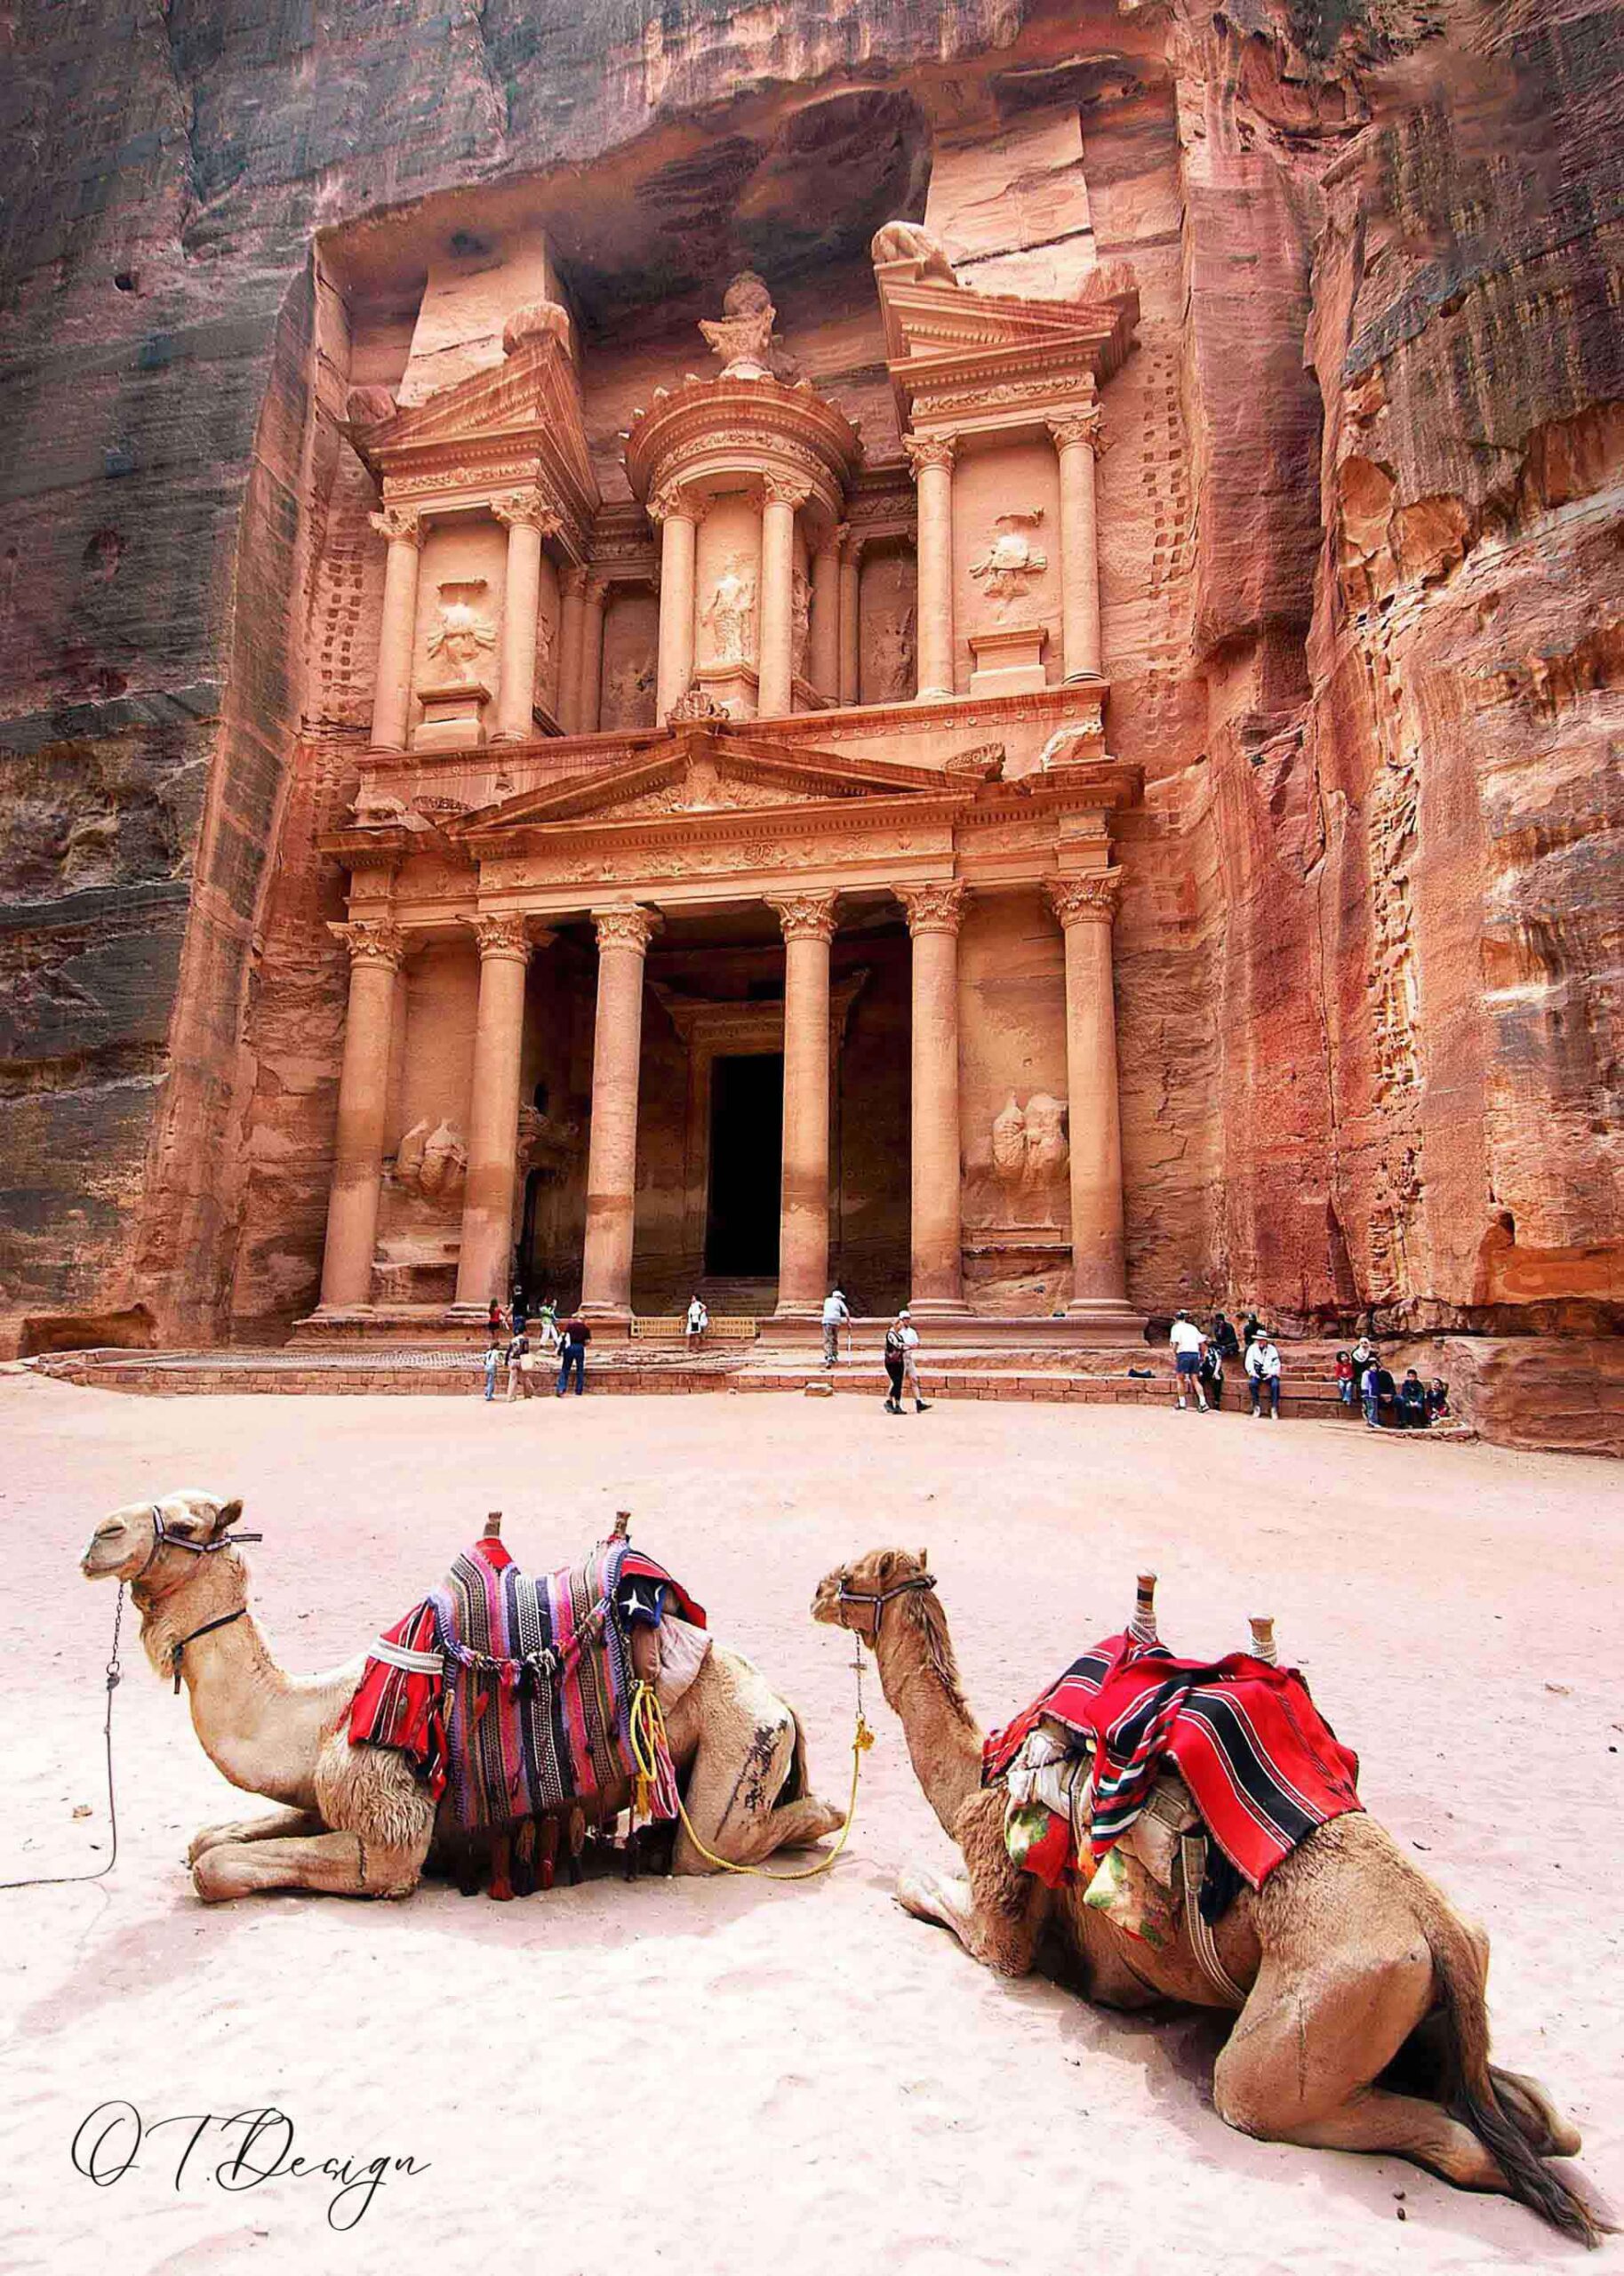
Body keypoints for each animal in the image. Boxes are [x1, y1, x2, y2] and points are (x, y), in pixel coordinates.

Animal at [77, 1493, 841, 1903]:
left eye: (191, 1524)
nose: (99, 1535)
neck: (315, 1718)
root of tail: (781, 1702)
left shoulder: (389, 1830)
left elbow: (216, 1868)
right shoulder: (326, 1792)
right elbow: (212, 1838)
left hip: (742, 1742)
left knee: (742, 1838)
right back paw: (645, 1841)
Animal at [814, 1538, 1601, 2248]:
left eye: (853, 1571)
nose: (816, 1591)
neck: (981, 1772)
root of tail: (1435, 1925)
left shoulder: (999, 1906)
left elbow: (930, 1894)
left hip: (1313, 2020)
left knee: (1311, 2109)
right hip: (1437, 2006)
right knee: (1547, 2118)